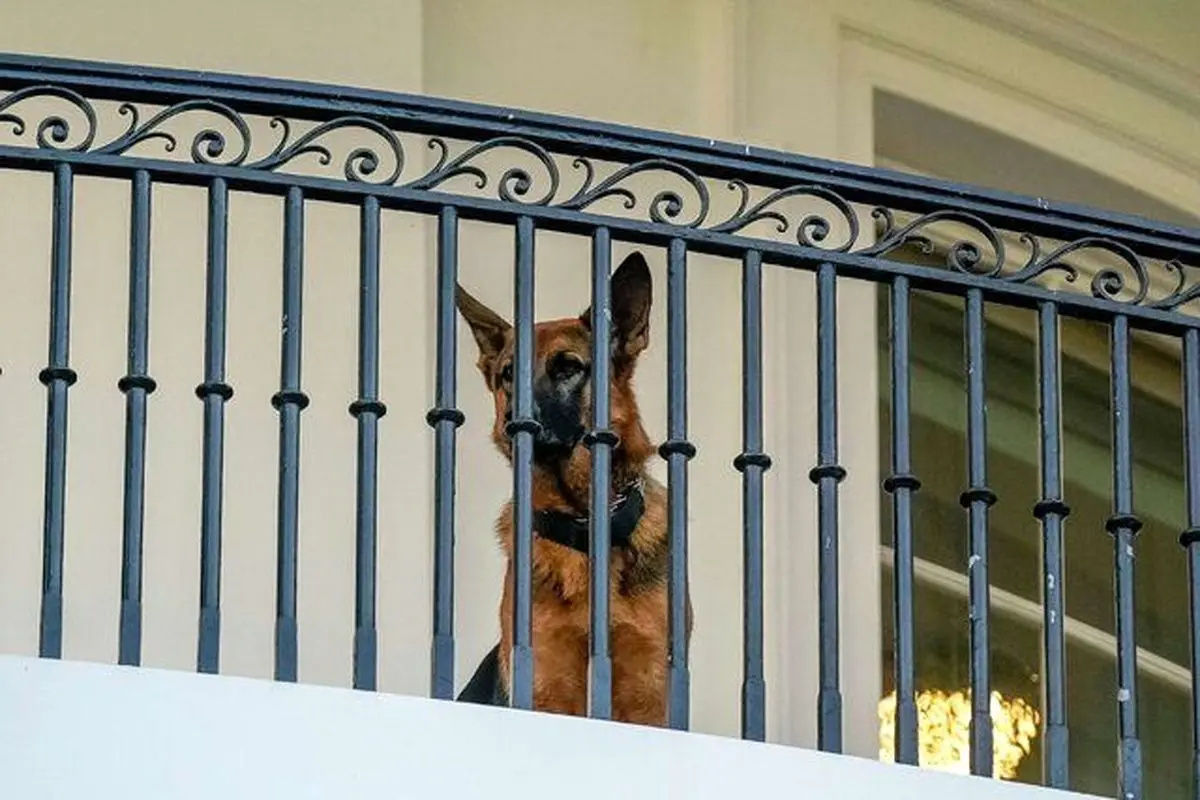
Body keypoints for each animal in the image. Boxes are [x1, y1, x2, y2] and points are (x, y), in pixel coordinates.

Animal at [451, 251, 696, 724]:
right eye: (508, 373)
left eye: (567, 367)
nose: (513, 422)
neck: (582, 521)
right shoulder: (545, 684)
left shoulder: (650, 691)